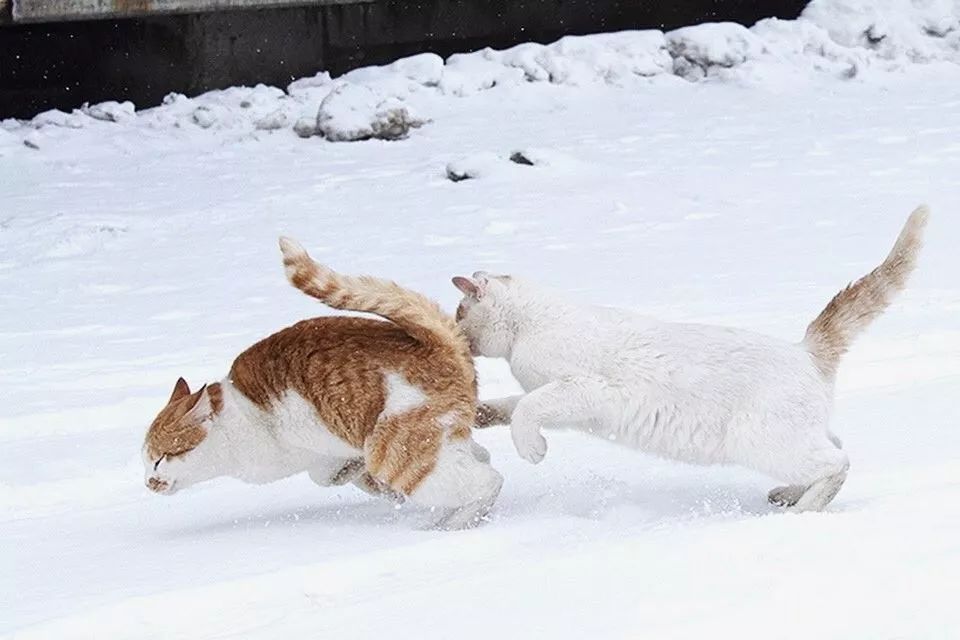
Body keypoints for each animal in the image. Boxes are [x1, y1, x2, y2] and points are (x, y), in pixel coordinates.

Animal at [144, 238, 502, 528]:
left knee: (488, 481)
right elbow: (331, 476)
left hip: (396, 453)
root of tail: (435, 342)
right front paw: (363, 480)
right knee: (480, 460)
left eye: (160, 458)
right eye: (146, 461)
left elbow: (325, 475)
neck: (234, 422)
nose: (148, 481)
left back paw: (451, 524)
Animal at [454, 208, 928, 512]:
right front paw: (479, 414)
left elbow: (527, 413)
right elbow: (512, 406)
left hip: (760, 442)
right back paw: (788, 495)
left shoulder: (579, 391)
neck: (528, 326)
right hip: (794, 437)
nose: (456, 333)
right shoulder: (560, 401)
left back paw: (803, 509)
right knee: (837, 445)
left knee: (839, 463)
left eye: (459, 313)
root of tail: (805, 349)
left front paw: (532, 451)